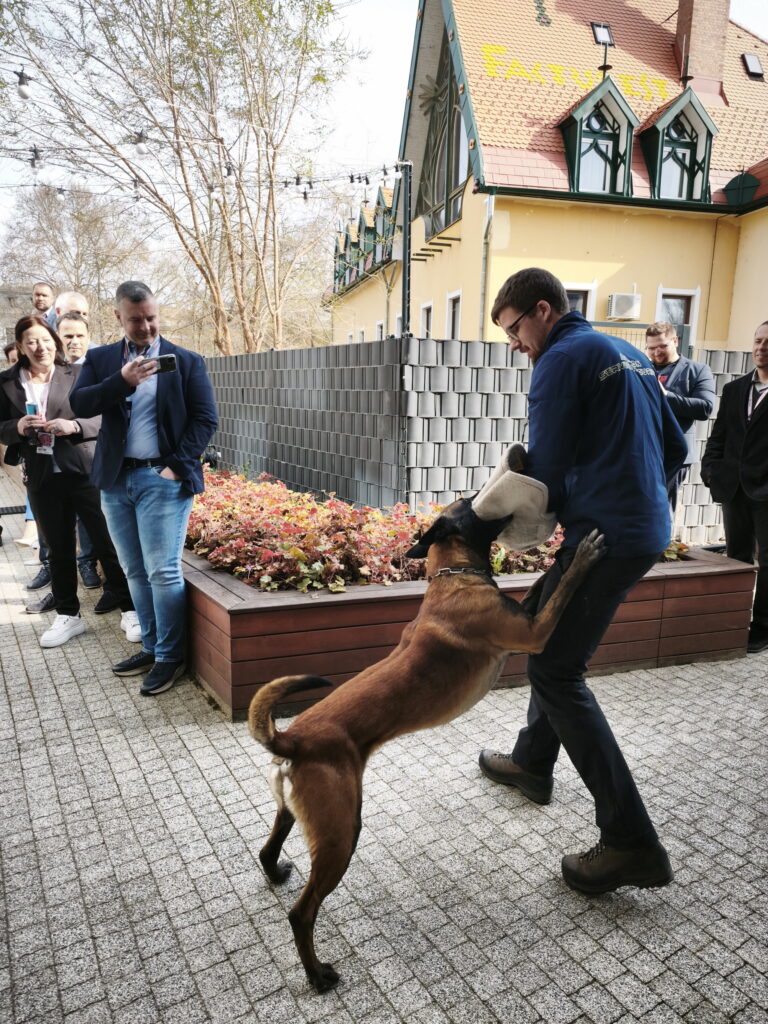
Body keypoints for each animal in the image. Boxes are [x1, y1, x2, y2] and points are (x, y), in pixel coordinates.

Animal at [248, 498, 605, 991]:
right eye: (471, 507)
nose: (486, 497)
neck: (451, 575)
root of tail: (292, 739)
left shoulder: (523, 618)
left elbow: (535, 592)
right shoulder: (533, 633)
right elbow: (559, 593)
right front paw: (581, 559)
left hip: (296, 812)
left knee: (268, 850)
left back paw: (276, 872)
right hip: (342, 832)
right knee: (301, 914)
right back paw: (318, 975)